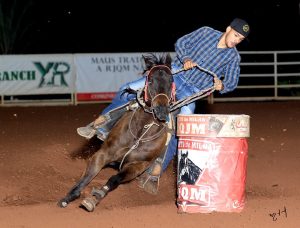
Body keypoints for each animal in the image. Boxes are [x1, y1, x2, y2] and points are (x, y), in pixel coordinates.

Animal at [58, 52, 176, 211]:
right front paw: (69, 197)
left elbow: (115, 179)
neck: (139, 134)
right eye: (151, 80)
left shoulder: (137, 166)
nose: (162, 110)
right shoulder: (103, 154)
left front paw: (95, 197)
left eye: (171, 81)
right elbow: (88, 176)